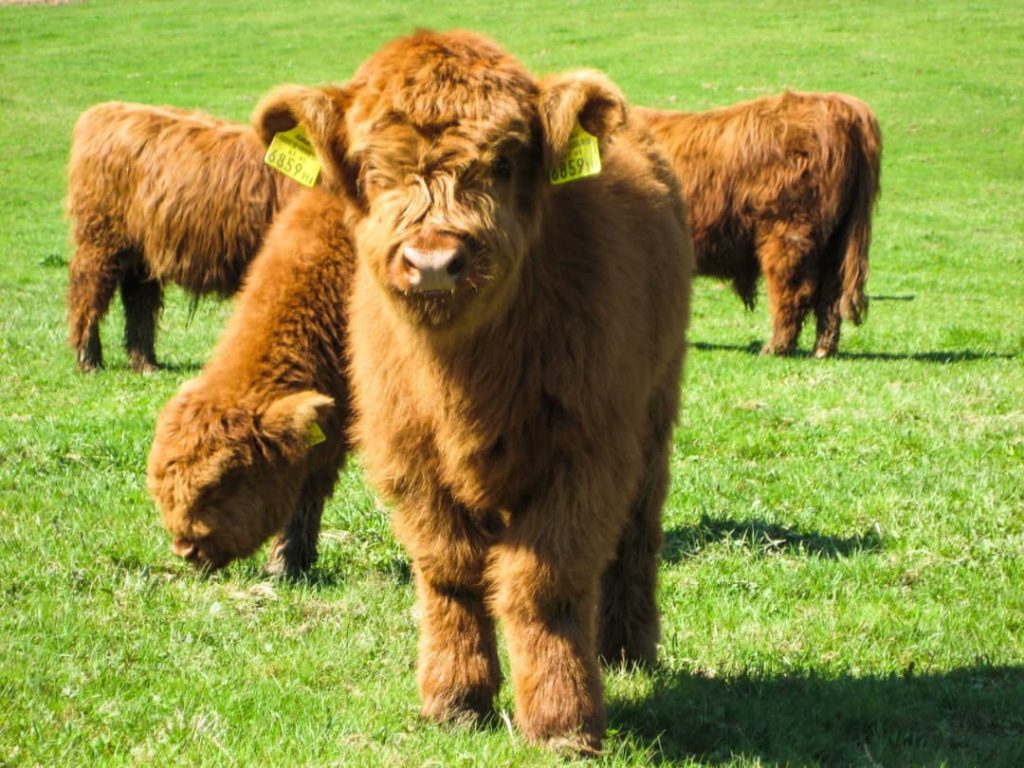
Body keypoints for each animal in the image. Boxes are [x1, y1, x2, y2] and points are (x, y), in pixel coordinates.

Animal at [66, 101, 301, 372]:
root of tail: (103, 110)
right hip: (101, 238)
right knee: (88, 289)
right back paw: (89, 360)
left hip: (140, 250)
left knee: (139, 299)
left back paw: (145, 362)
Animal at [252, 30, 692, 752]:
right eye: (371, 169)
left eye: (506, 162)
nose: (432, 262)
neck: (464, 380)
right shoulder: (409, 460)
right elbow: (449, 570)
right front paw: (455, 700)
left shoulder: (586, 454)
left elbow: (543, 582)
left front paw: (562, 720)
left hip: (654, 411)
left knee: (637, 529)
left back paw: (626, 648)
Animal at [636, 90, 881, 356]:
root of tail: (838, 104)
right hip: (837, 240)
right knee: (831, 294)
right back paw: (822, 350)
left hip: (788, 231)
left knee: (793, 290)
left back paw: (776, 347)